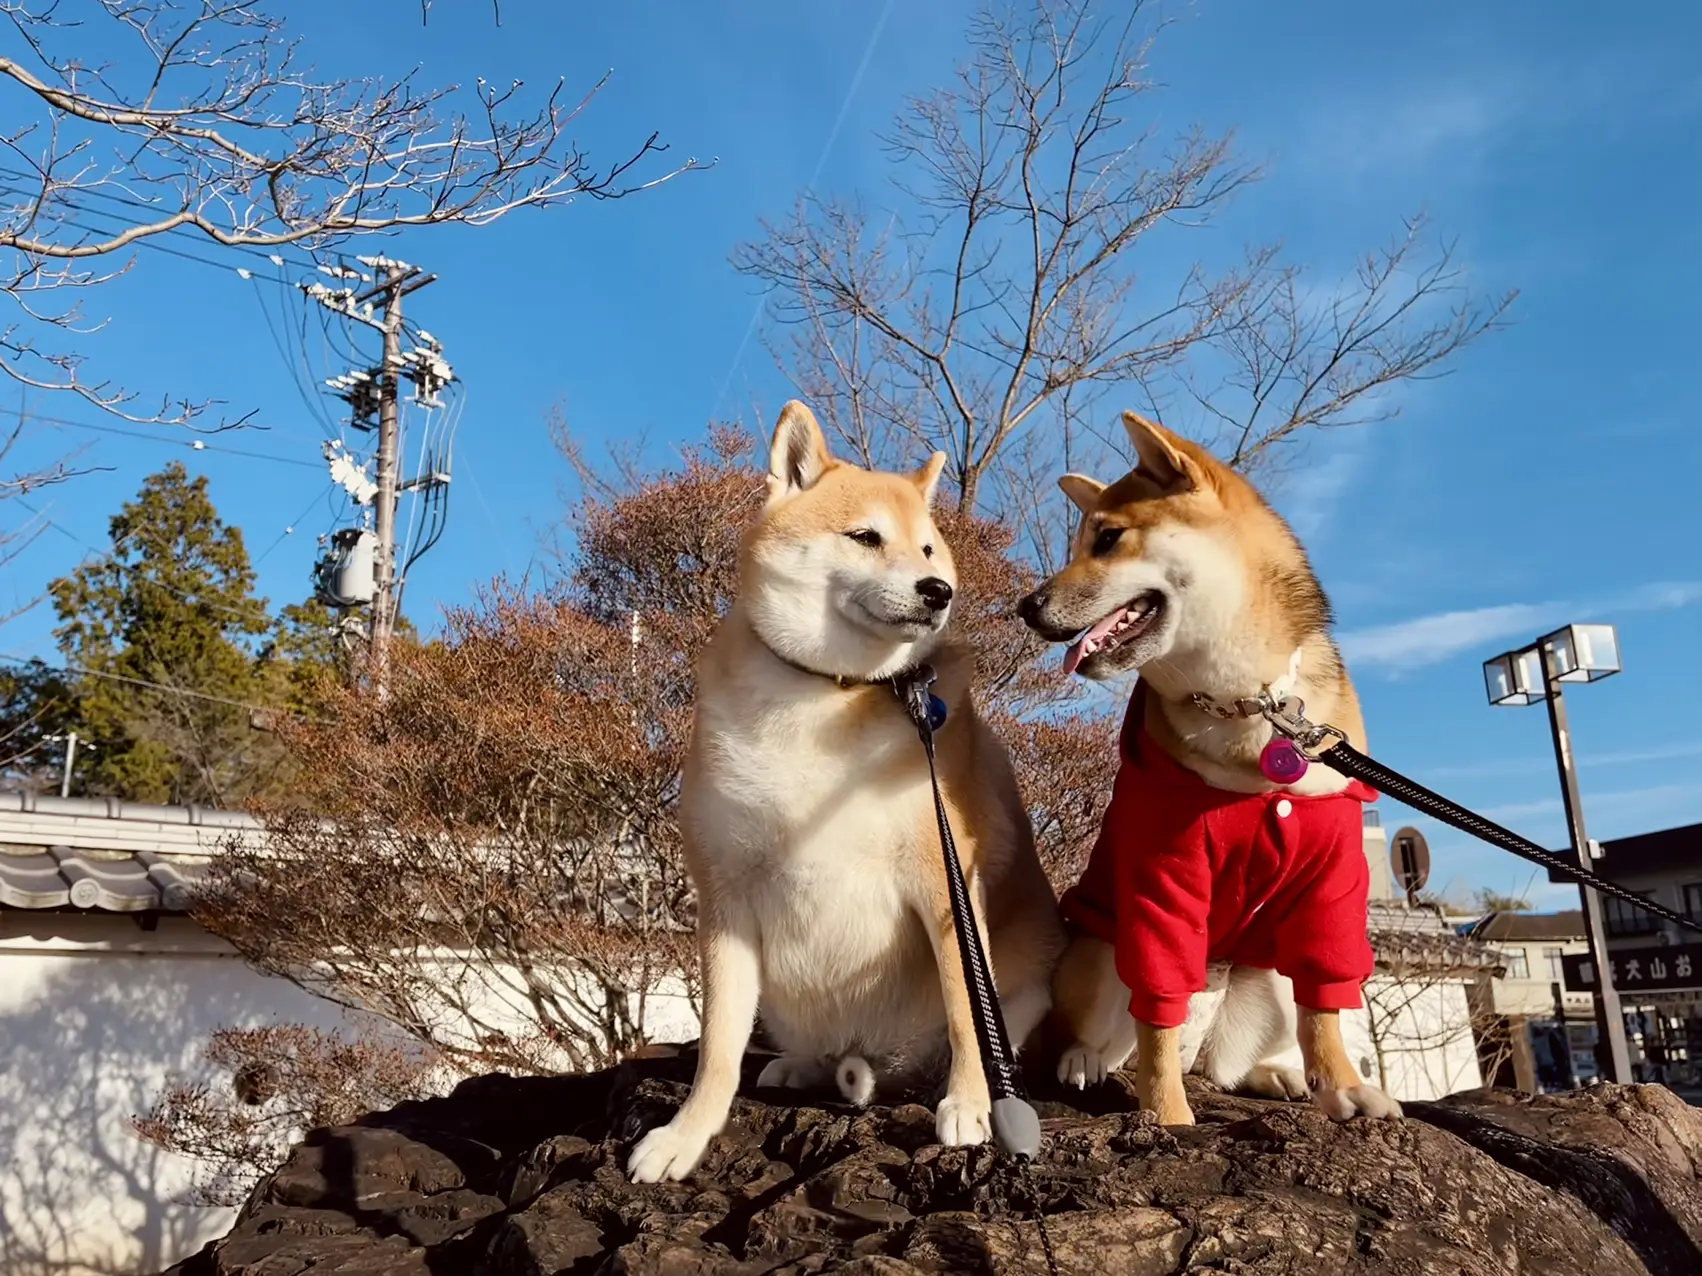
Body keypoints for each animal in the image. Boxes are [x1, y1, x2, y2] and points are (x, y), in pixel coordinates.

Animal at [626, 401, 1062, 1190]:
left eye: (929, 551)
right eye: (866, 537)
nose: (938, 592)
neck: (827, 695)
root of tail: (879, 1059)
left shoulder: (943, 884)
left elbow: (966, 1013)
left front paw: (972, 1107)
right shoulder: (725, 896)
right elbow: (718, 1049)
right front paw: (685, 1135)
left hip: (1026, 977)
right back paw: (800, 1066)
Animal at [1014, 411, 1402, 1129]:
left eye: (1108, 539)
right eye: (1081, 541)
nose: (1027, 606)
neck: (1247, 702)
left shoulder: (1332, 874)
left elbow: (1324, 1006)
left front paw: (1344, 1088)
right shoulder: (1164, 873)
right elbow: (1157, 1024)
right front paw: (1166, 1116)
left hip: (1265, 978)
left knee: (1225, 1061)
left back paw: (1276, 1074)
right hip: (1101, 952)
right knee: (1109, 1039)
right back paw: (1084, 1061)